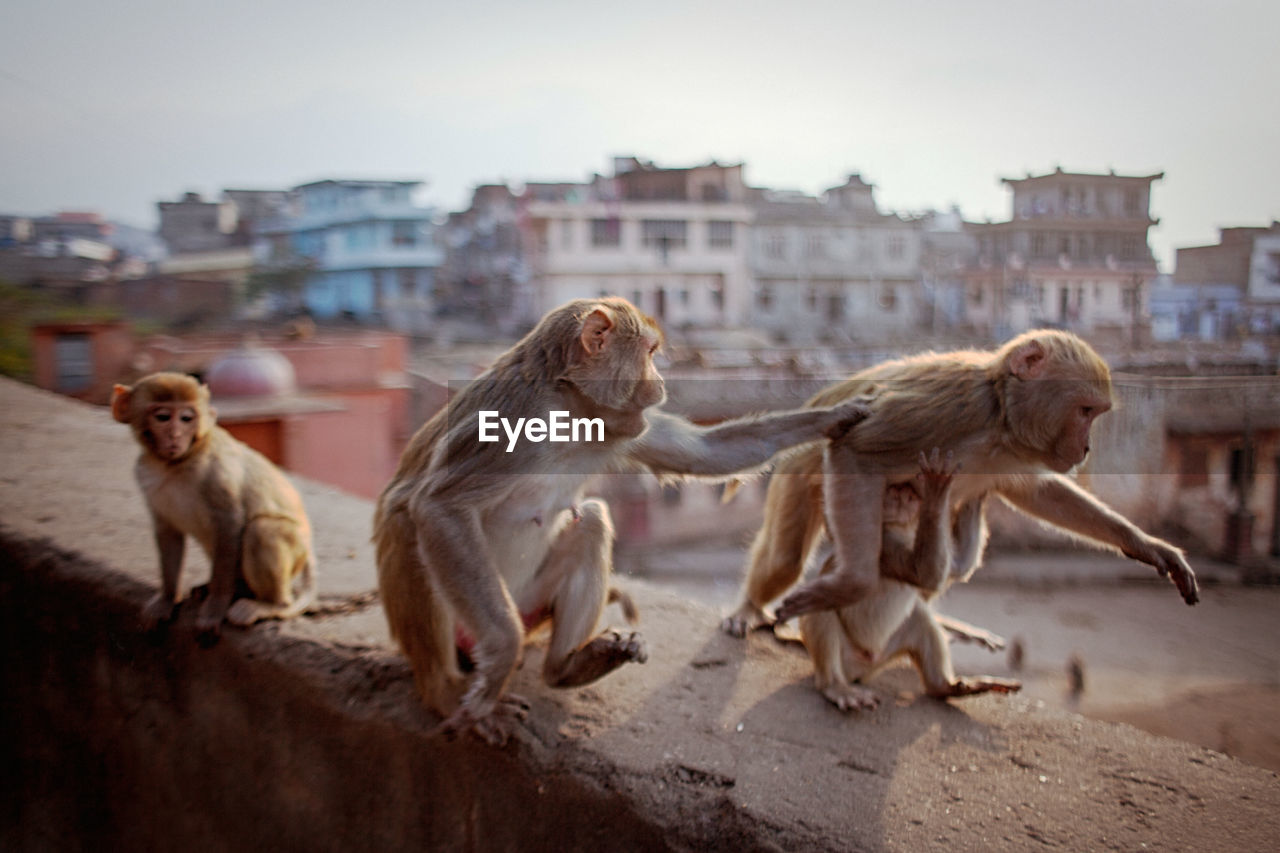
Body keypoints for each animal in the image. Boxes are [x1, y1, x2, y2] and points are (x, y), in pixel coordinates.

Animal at [112, 368, 317, 635]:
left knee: (263, 529)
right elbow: (168, 533)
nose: (175, 435)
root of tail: (308, 548)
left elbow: (230, 524)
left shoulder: (216, 472)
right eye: (163, 417)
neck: (175, 464)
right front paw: (166, 599)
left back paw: (268, 605)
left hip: (295, 553)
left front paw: (215, 608)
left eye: (186, 418)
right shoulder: (144, 475)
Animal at [371, 297, 870, 742]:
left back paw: (566, 668)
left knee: (592, 520)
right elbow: (441, 506)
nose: (663, 383)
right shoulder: (507, 420)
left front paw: (837, 415)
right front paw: (500, 663)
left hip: (532, 602)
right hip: (475, 615)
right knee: (408, 523)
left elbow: (705, 453)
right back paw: (445, 688)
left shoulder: (623, 427)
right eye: (649, 353)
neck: (568, 407)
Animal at [721, 327, 1198, 635]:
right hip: (800, 469)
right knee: (786, 558)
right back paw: (749, 608)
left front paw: (1147, 545)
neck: (999, 418)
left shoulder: (1013, 453)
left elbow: (1041, 493)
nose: (1085, 449)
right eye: (1085, 411)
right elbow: (856, 450)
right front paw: (850, 584)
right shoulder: (950, 406)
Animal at [798, 440, 1018, 706]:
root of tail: (862, 667)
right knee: (821, 611)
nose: (904, 491)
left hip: (887, 651)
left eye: (905, 489)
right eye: (892, 489)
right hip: (845, 655)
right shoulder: (884, 547)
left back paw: (946, 686)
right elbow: (925, 574)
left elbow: (955, 567)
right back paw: (835, 687)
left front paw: (980, 493)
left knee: (919, 619)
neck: (900, 529)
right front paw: (936, 494)